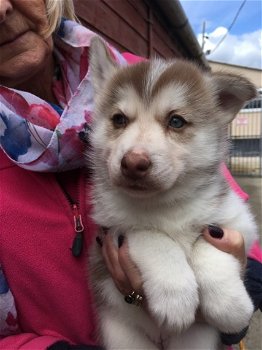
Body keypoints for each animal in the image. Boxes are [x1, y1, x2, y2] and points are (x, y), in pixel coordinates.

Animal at [87, 37, 256, 348]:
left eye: (176, 121)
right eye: (119, 119)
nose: (133, 163)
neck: (164, 204)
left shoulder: (240, 224)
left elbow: (207, 243)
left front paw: (231, 305)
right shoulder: (109, 232)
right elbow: (151, 236)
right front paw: (175, 295)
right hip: (122, 336)